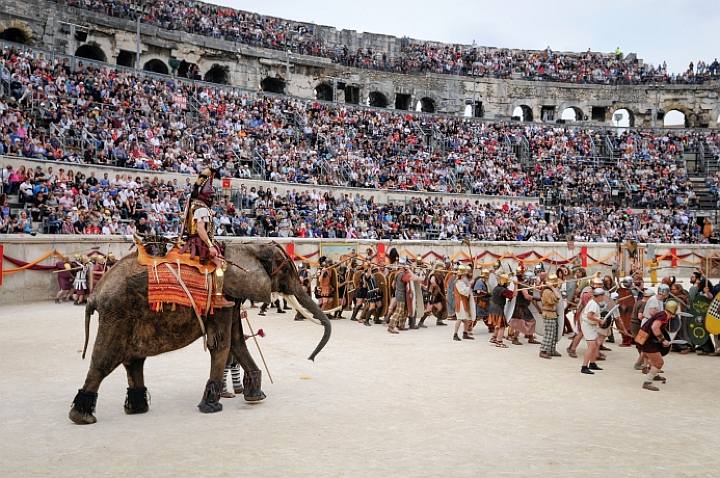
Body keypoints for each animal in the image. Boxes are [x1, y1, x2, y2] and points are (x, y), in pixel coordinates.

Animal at [69, 243, 334, 426]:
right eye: (286, 270)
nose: (311, 359)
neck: (246, 247)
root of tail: (95, 294)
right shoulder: (222, 298)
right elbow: (222, 343)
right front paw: (211, 407)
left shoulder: (231, 297)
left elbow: (237, 341)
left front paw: (256, 397)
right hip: (117, 314)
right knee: (104, 360)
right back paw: (82, 418)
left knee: (134, 361)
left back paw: (136, 409)